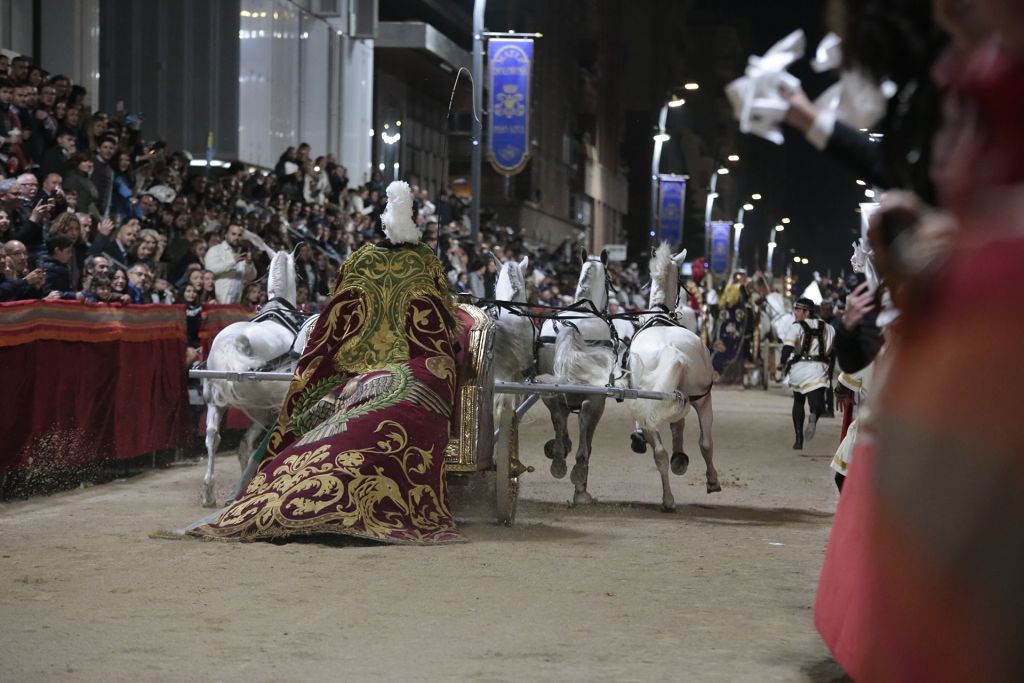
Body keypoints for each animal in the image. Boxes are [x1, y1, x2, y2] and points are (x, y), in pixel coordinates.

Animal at [197, 250, 313, 507]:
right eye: (299, 272)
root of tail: (234, 342)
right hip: (262, 405)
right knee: (254, 441)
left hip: (217, 401)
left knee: (213, 436)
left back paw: (210, 492)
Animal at [540, 248, 610, 505]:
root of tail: (570, 325)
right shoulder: (599, 403)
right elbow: (587, 440)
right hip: (595, 398)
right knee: (583, 433)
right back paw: (579, 483)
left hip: (547, 392)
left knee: (558, 417)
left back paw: (559, 459)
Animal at [626, 242, 716, 509]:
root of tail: (670, 349)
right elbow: (683, 427)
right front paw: (681, 458)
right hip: (702, 399)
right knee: (706, 442)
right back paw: (710, 480)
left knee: (660, 453)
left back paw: (668, 499)